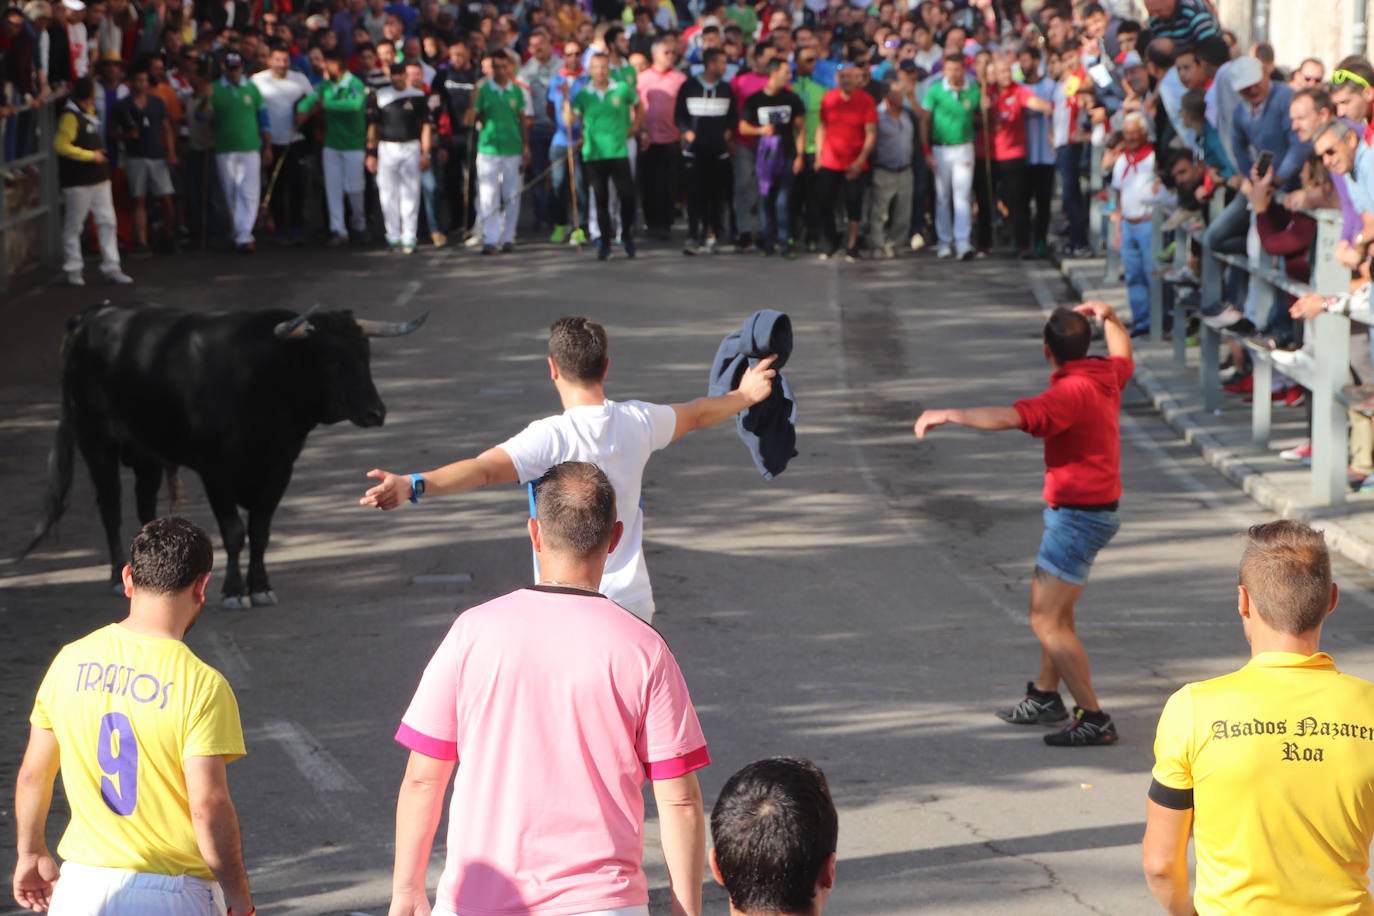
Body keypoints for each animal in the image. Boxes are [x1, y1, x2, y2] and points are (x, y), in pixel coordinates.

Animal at [24, 302, 425, 609]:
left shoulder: (280, 468)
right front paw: (233, 591)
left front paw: (260, 587)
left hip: (146, 454)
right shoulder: (215, 472)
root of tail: (93, 315)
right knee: (109, 507)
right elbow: (233, 532)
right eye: (329, 361)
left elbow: (260, 530)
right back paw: (113, 576)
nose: (376, 412)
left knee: (144, 506)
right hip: (96, 442)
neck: (264, 380)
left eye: (365, 355)